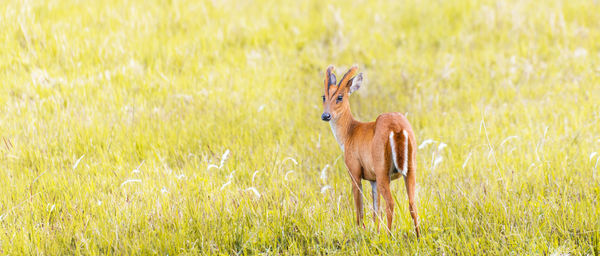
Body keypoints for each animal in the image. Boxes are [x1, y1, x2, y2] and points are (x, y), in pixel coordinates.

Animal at [322, 64, 420, 238]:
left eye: (340, 97)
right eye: (323, 97)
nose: (325, 115)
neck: (349, 133)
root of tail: (398, 129)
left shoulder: (354, 172)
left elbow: (360, 208)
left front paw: (360, 231)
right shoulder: (372, 179)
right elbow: (375, 209)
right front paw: (375, 232)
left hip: (383, 170)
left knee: (391, 203)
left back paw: (389, 236)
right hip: (410, 168)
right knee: (412, 203)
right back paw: (418, 237)